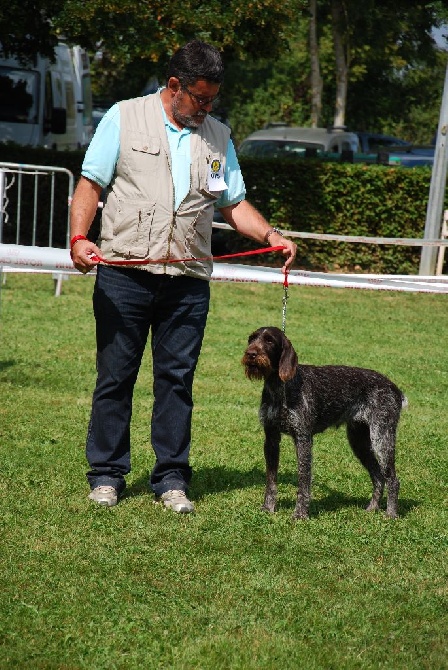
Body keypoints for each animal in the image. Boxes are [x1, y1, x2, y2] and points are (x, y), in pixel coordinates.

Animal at [242, 328, 406, 524]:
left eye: (269, 341)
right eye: (251, 339)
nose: (250, 354)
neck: (278, 387)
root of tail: (394, 388)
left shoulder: (303, 438)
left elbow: (303, 480)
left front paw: (300, 514)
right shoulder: (271, 439)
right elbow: (271, 480)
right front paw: (268, 508)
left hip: (382, 438)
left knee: (392, 479)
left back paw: (391, 514)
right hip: (359, 442)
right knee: (378, 476)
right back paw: (372, 508)